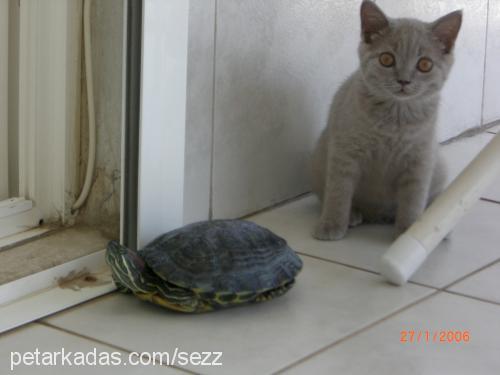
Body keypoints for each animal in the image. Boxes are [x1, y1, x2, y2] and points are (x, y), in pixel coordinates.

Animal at [312, 0, 460, 241]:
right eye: (387, 59)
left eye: (425, 64)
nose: (404, 81)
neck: (395, 118)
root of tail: (378, 215)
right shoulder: (344, 152)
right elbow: (338, 190)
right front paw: (332, 224)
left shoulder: (420, 159)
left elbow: (413, 199)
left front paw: (409, 229)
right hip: (318, 159)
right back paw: (353, 214)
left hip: (439, 165)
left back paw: (437, 221)